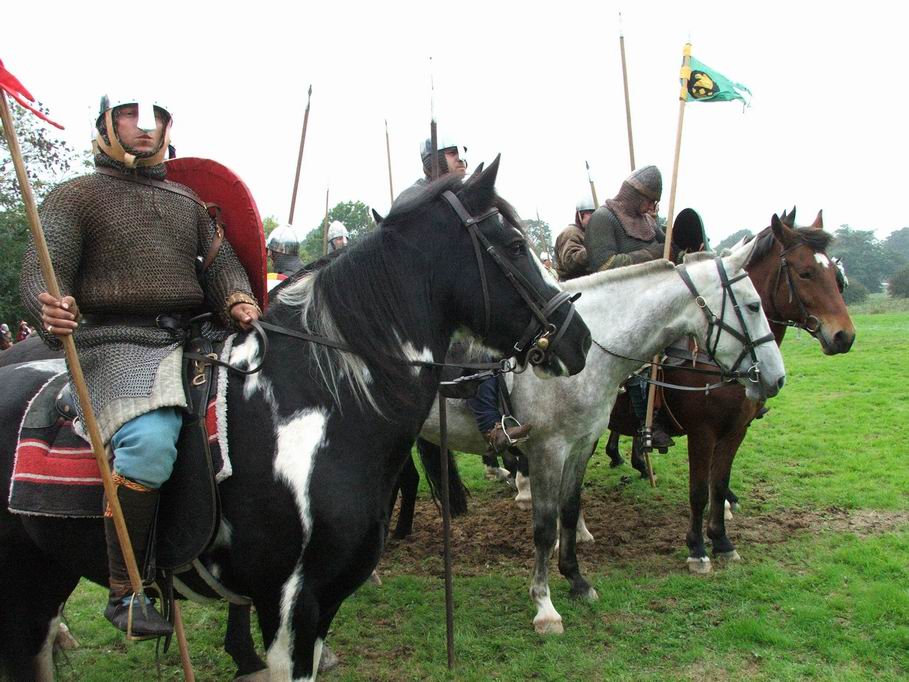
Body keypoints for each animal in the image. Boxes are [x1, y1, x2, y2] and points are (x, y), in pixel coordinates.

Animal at [412, 237, 787, 634]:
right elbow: (544, 527)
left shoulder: (579, 447)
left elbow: (568, 510)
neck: (587, 355)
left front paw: (577, 580)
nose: (776, 378)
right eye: (753, 305)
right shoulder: (548, 452)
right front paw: (544, 606)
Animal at [604, 208, 855, 573]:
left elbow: (719, 484)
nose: (844, 336)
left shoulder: (736, 430)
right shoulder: (702, 432)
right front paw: (697, 548)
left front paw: (721, 540)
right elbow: (699, 489)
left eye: (835, 276)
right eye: (805, 272)